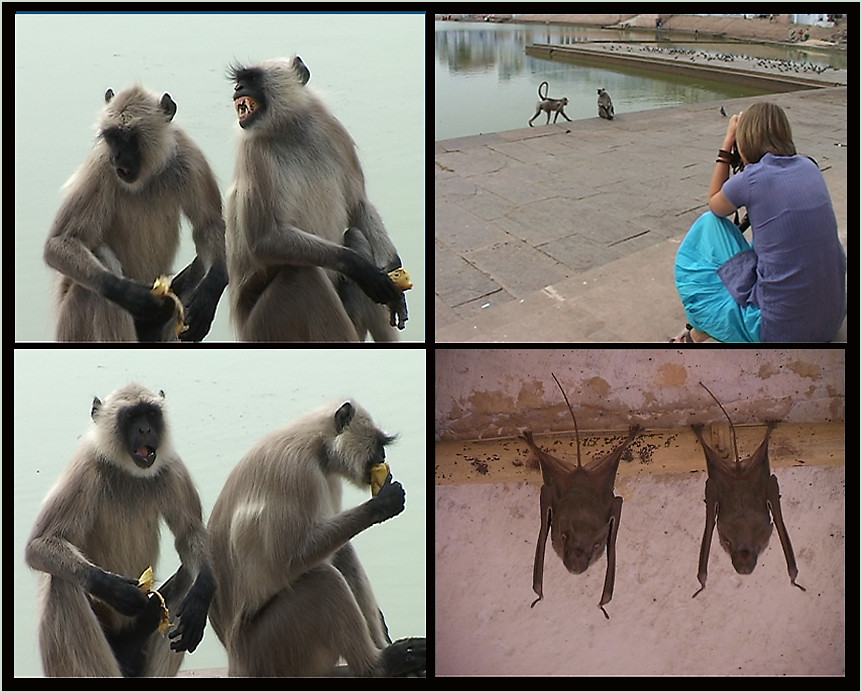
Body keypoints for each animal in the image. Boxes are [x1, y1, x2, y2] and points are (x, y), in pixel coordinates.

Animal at [26, 384, 218, 676]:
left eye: (150, 414)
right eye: (131, 417)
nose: (145, 430)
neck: (128, 472)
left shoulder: (171, 466)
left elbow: (189, 533)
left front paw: (202, 594)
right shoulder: (84, 469)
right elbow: (38, 544)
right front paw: (114, 589)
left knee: (188, 570)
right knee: (62, 583)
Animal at [45, 85, 228, 342]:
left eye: (128, 138)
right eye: (112, 137)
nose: (117, 157)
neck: (146, 178)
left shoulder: (190, 157)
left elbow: (208, 225)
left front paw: (210, 291)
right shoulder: (101, 167)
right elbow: (58, 242)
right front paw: (129, 294)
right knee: (98, 269)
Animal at [208, 398, 426, 672]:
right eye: (378, 445)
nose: (383, 457)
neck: (316, 444)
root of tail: (236, 659)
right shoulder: (296, 473)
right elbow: (289, 559)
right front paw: (381, 506)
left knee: (342, 554)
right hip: (271, 647)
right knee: (325, 580)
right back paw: (380, 665)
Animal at [226, 55, 408, 342]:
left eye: (251, 79)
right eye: (240, 81)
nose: (237, 89)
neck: (287, 130)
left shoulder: (332, 129)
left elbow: (357, 204)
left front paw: (392, 270)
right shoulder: (252, 153)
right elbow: (263, 239)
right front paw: (359, 266)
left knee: (356, 237)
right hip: (265, 327)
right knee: (302, 274)